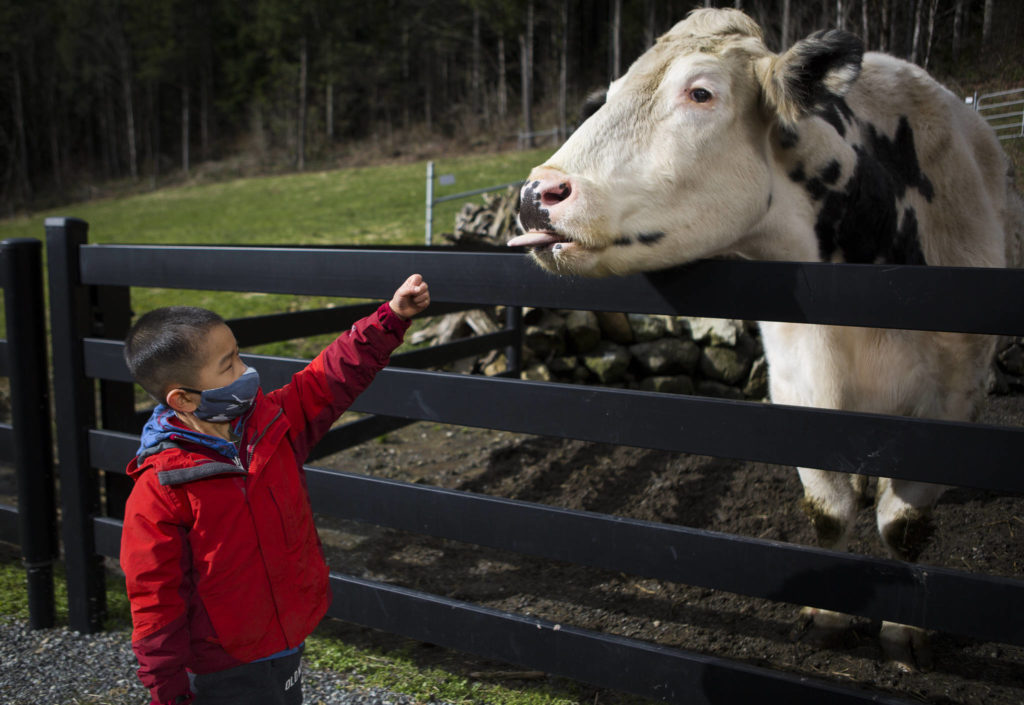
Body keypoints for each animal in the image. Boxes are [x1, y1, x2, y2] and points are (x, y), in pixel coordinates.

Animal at [512, 9, 1024, 672]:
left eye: (701, 93)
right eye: (612, 92)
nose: (535, 195)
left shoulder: (954, 398)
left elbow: (903, 524)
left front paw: (905, 635)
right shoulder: (797, 386)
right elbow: (829, 511)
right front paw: (829, 617)